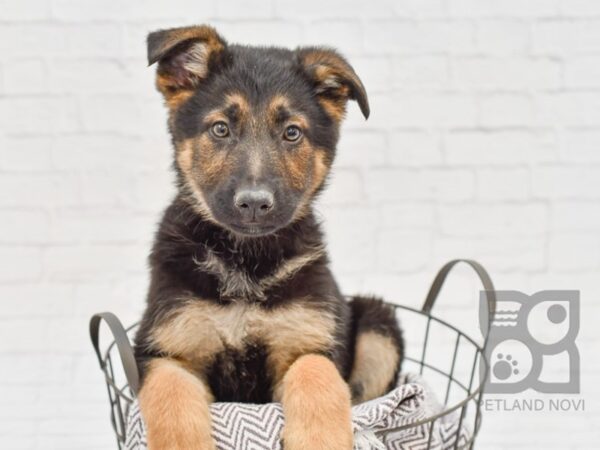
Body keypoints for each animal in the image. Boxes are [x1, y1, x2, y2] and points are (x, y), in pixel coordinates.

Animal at [132, 25, 404, 450]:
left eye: (292, 133)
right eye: (221, 129)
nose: (255, 204)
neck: (247, 262)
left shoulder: (311, 340)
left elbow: (315, 371)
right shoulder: (165, 350)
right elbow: (171, 398)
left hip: (379, 321)